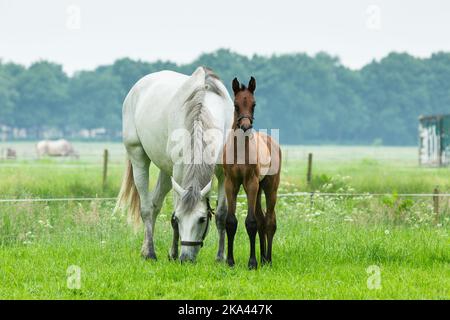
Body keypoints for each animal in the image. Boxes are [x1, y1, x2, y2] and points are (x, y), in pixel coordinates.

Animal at [114, 66, 234, 262]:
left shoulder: (224, 174)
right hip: (138, 155)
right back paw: (149, 252)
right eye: (178, 219)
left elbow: (222, 215)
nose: (186, 258)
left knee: (154, 205)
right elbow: (175, 210)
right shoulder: (179, 173)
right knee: (146, 208)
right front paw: (173, 253)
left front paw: (220, 258)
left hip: (165, 171)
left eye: (202, 219)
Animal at [222, 76, 282, 268]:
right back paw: (263, 258)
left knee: (269, 221)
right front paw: (230, 261)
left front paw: (252, 262)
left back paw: (267, 259)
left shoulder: (251, 182)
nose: (245, 126)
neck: (240, 149)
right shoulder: (231, 183)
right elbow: (231, 222)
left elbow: (251, 222)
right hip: (258, 188)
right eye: (236, 104)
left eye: (254, 104)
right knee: (262, 219)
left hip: (269, 187)